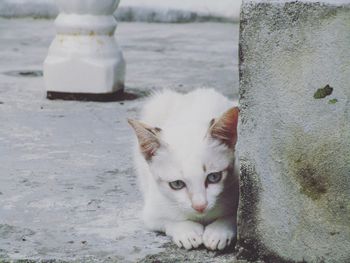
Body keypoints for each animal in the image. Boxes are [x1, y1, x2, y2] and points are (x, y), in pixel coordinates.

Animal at [129, 88, 241, 252]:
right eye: (177, 184)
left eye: (214, 177)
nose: (200, 206)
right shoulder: (151, 211)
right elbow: (164, 220)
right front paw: (186, 231)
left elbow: (235, 216)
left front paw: (219, 231)